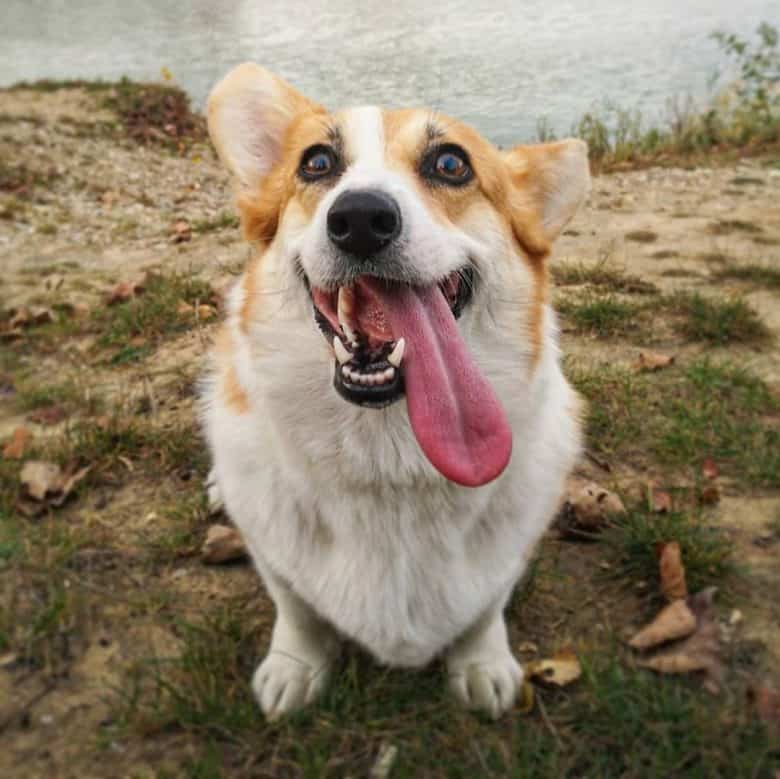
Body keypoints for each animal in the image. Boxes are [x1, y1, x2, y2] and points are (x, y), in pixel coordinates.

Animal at [203, 64, 592, 724]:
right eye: (316, 163)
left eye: (451, 164)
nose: (360, 218)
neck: (390, 459)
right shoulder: (273, 555)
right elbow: (297, 610)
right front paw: (294, 669)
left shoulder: (505, 559)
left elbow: (484, 609)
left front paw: (482, 666)